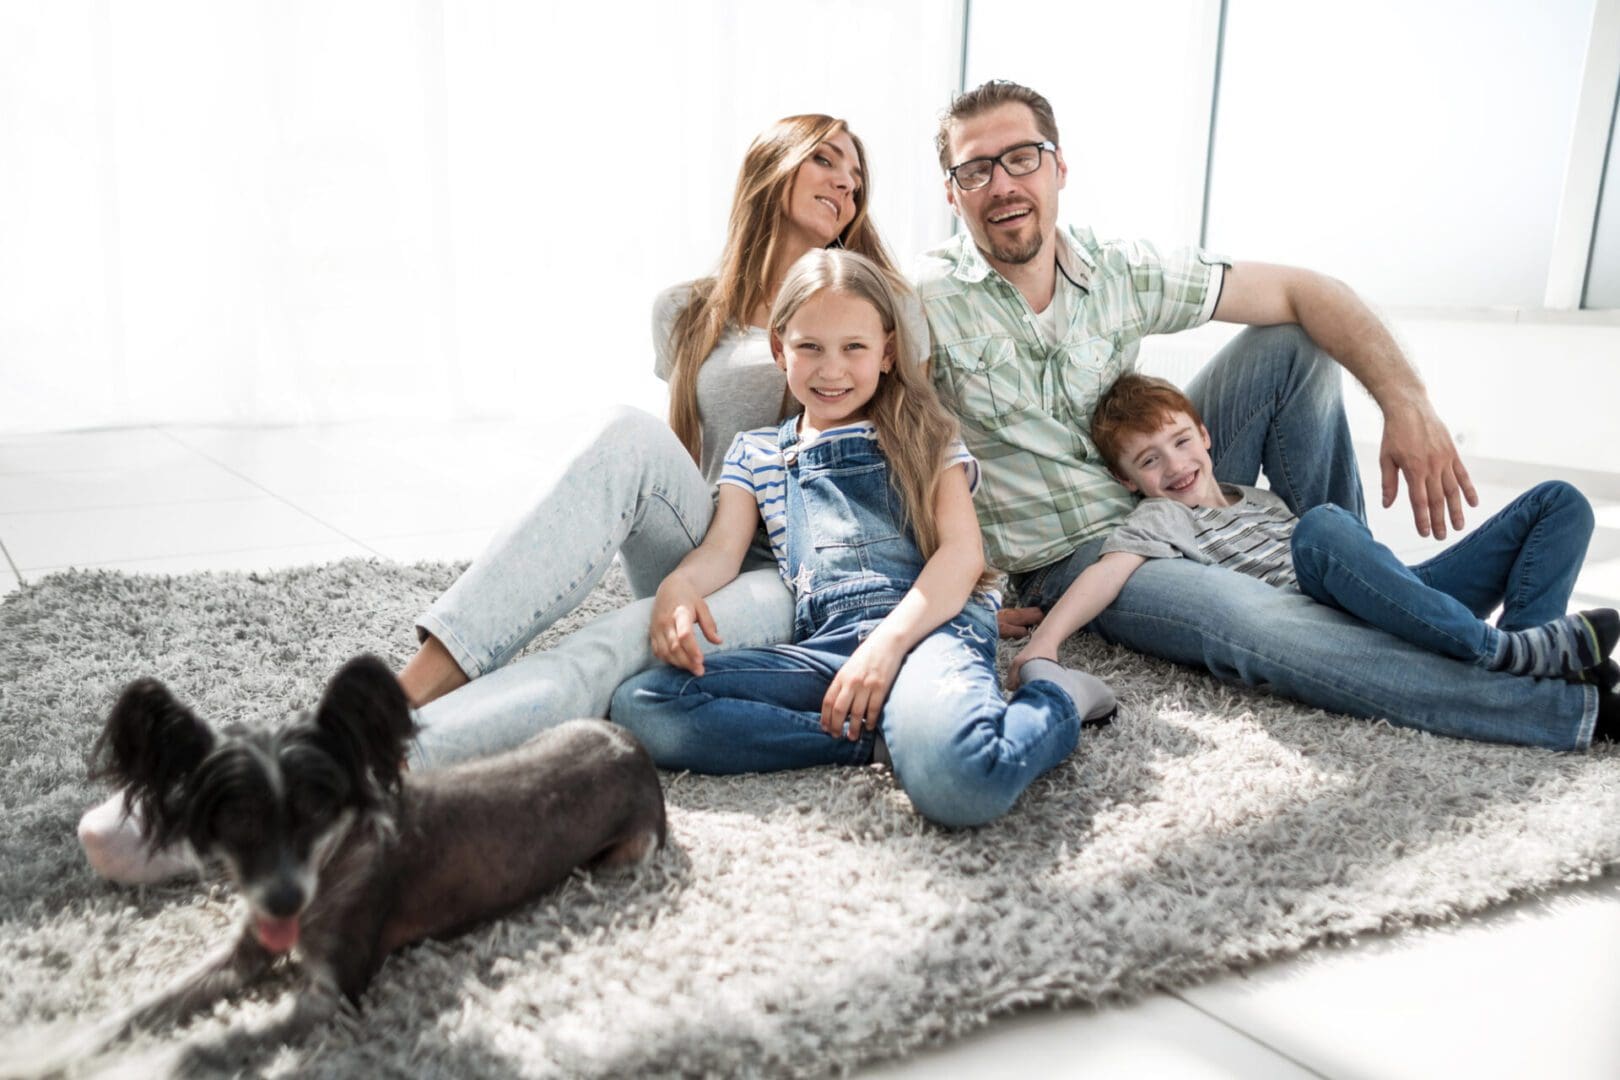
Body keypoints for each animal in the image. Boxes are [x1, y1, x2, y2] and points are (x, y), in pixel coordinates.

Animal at [6, 654, 664, 1075]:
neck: (332, 867)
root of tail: (635, 747)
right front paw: (59, 1048)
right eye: (234, 823)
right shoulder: (240, 952)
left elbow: (217, 1038)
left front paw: (145, 1062)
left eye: (317, 810)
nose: (283, 901)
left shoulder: (331, 995)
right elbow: (147, 1006)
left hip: (629, 855)